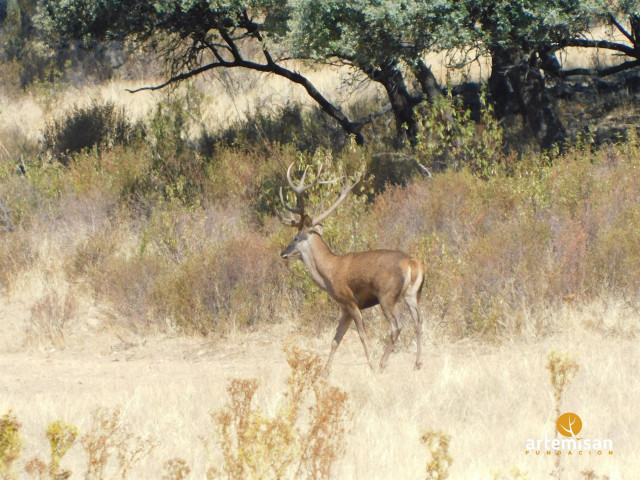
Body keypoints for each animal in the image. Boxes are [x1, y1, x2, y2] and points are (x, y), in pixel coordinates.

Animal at [277, 163, 425, 374]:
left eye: (295, 238)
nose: (283, 253)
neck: (329, 271)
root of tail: (413, 264)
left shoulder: (350, 300)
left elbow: (361, 334)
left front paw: (371, 365)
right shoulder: (344, 307)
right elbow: (335, 339)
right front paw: (325, 371)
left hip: (386, 294)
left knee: (396, 326)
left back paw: (382, 363)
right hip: (413, 294)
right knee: (418, 321)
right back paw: (417, 363)